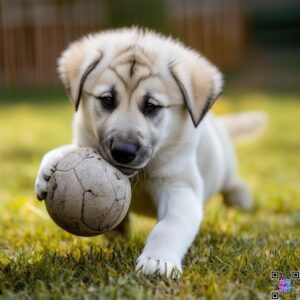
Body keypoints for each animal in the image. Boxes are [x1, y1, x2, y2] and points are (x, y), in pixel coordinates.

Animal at [35, 28, 268, 278]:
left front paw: (158, 261)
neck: (140, 174)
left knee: (232, 182)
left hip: (222, 167)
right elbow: (74, 149)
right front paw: (50, 166)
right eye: (107, 100)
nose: (123, 152)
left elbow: (170, 226)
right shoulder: (86, 140)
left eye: (151, 106)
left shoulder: (179, 188)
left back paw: (240, 196)